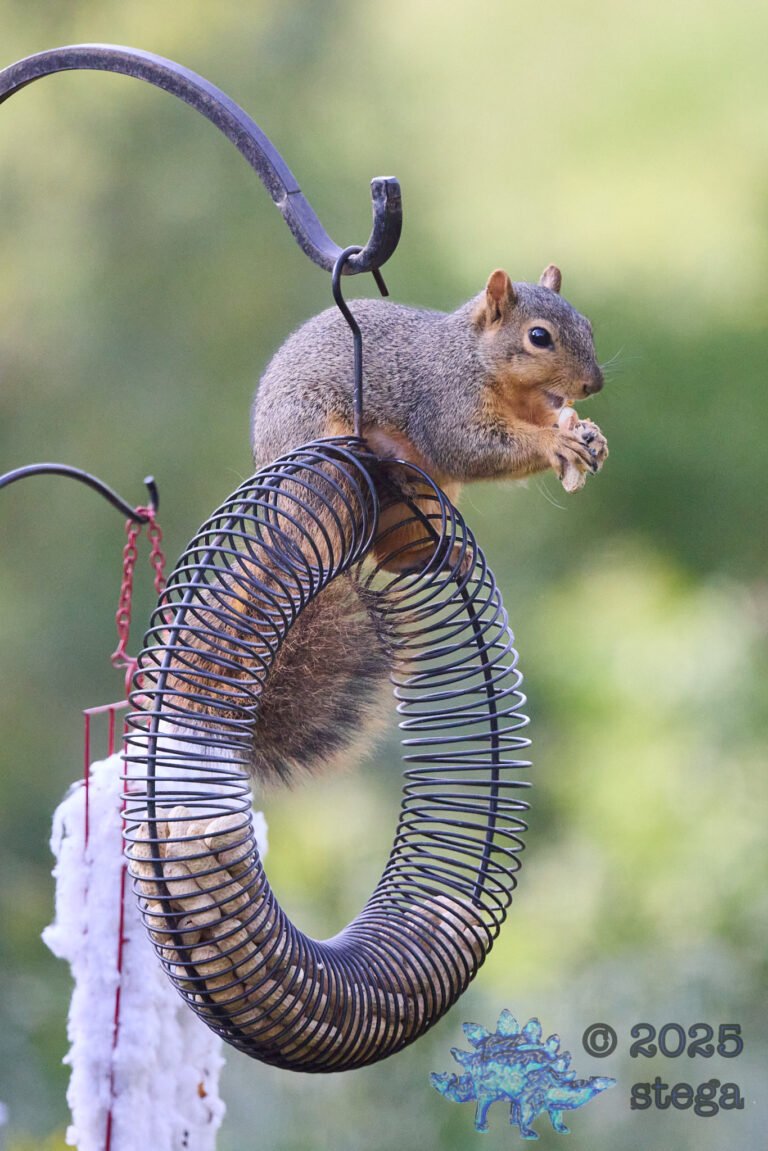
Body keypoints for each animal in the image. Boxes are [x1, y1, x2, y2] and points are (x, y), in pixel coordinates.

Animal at [244, 265, 608, 786]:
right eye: (539, 337)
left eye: (588, 326)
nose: (593, 384)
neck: (480, 361)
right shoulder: (446, 404)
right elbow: (473, 448)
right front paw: (555, 442)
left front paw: (592, 437)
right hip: (323, 457)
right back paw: (378, 455)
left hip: (425, 505)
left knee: (394, 555)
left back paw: (442, 550)